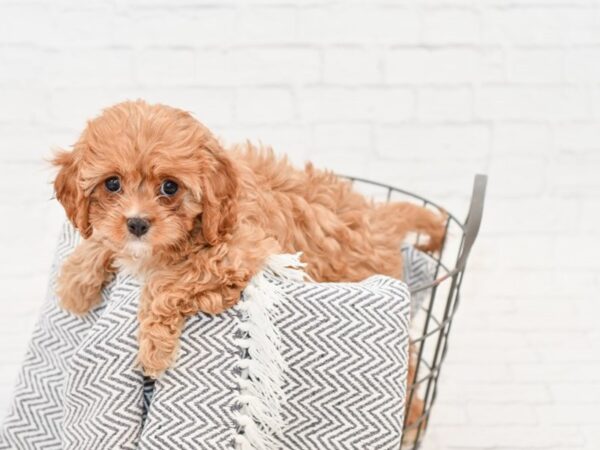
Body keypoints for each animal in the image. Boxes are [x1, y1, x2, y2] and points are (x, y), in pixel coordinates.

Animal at [52, 100, 446, 378]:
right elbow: (102, 238)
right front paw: (75, 284)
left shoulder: (240, 251)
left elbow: (166, 283)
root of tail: (376, 219)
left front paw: (154, 349)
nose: (136, 224)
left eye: (169, 187)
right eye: (112, 184)